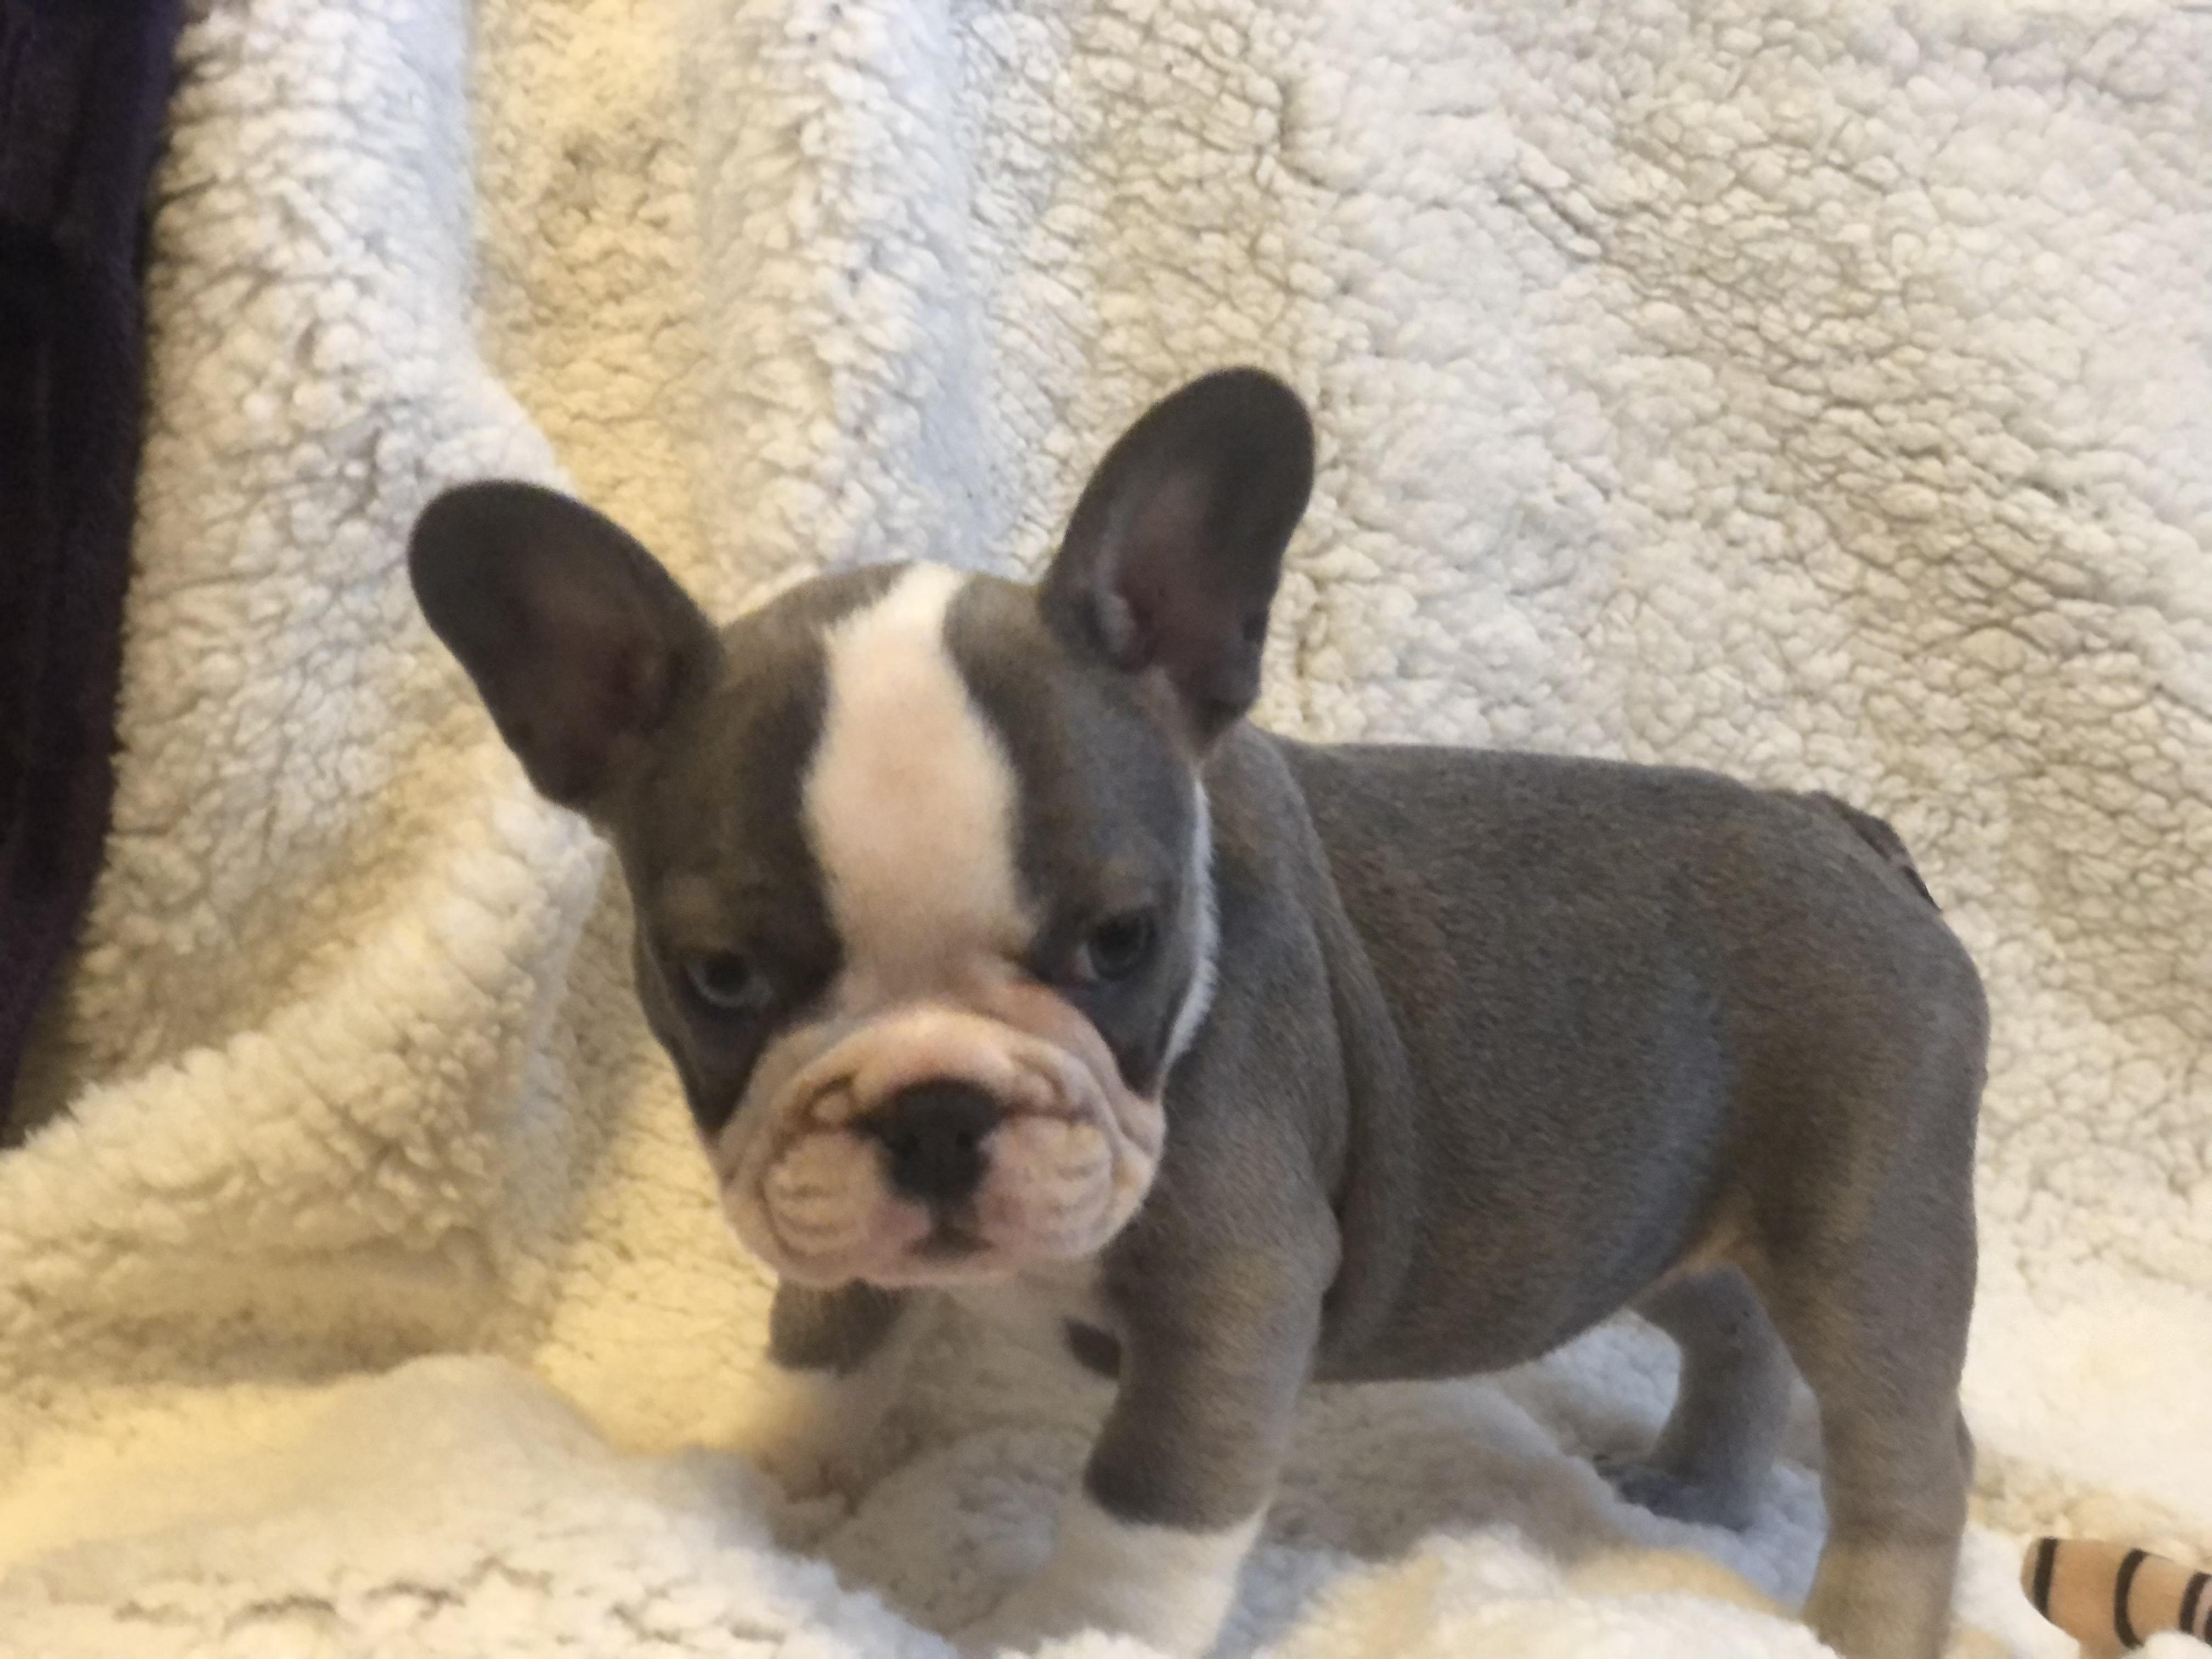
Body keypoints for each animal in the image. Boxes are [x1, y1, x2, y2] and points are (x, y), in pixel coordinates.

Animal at [408, 368, 1985, 1659]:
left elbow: (1145, 1505)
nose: (936, 1111)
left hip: (1867, 1228)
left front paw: (1071, 1637)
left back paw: (1856, 1625)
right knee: (1734, 1328)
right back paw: (1693, 1487)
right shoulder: (822, 1182)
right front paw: (761, 1477)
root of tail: (1845, 832)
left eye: (1122, 941)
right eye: (721, 978)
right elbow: (825, 1343)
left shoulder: (1237, 1282)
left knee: (1909, 1453)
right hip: (1658, 1211)